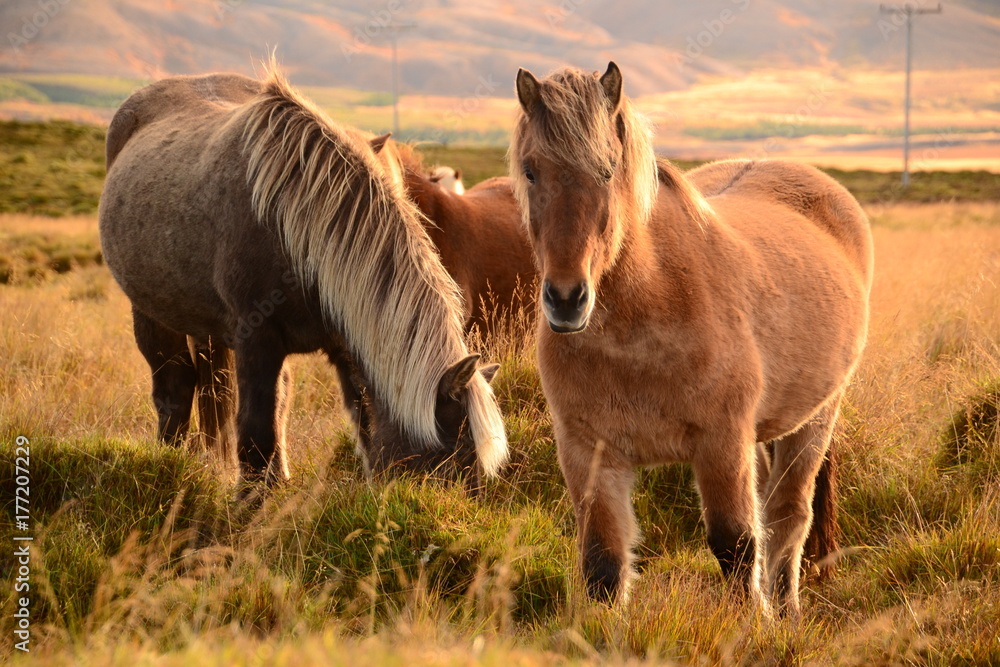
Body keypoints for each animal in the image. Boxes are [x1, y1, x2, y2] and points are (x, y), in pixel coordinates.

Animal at [98, 66, 508, 490]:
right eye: (450, 466)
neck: (302, 227)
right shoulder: (256, 339)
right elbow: (256, 431)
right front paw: (250, 501)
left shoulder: (346, 343)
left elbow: (361, 427)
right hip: (152, 313)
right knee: (175, 388)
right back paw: (170, 465)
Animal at [509, 62, 873, 616]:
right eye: (531, 171)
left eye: (607, 170)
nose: (567, 299)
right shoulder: (587, 452)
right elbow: (603, 563)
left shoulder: (721, 443)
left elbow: (736, 544)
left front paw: (755, 623)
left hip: (815, 420)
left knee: (789, 517)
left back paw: (787, 609)